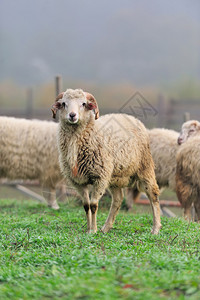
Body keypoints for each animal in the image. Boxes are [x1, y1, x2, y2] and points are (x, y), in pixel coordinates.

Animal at [51, 89, 161, 234]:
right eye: (64, 103)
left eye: (83, 103)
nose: (72, 115)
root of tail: (133, 118)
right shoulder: (78, 181)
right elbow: (86, 205)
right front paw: (89, 229)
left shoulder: (100, 177)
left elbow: (93, 205)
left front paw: (93, 230)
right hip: (114, 175)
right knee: (118, 199)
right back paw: (106, 227)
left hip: (145, 167)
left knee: (153, 194)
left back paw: (156, 228)